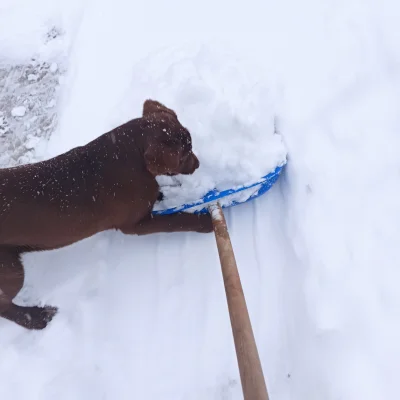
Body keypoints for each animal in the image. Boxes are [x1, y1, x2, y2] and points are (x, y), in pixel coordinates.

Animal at [0, 99, 214, 328]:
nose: (198, 164)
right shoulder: (135, 225)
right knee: (4, 305)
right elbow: (176, 220)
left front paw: (160, 194)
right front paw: (206, 221)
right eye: (184, 154)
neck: (131, 156)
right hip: (10, 270)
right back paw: (36, 318)